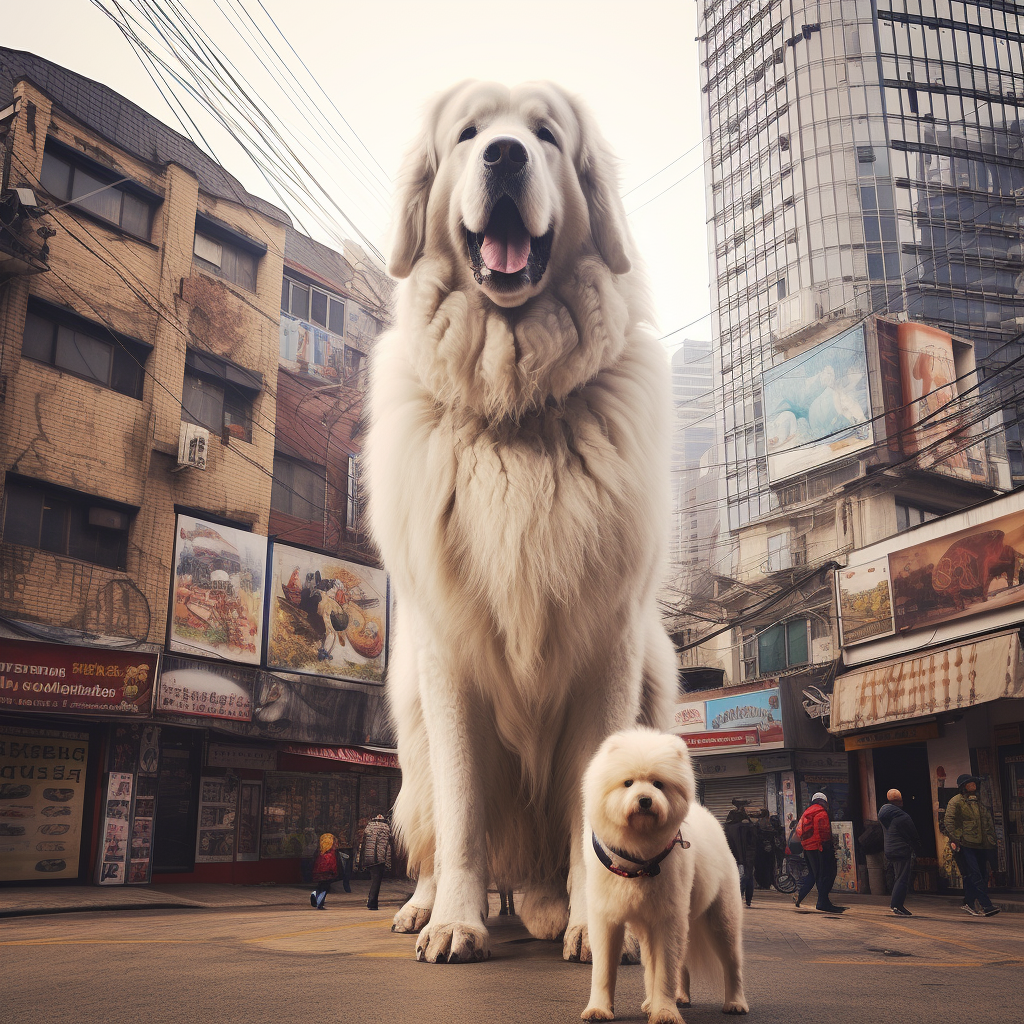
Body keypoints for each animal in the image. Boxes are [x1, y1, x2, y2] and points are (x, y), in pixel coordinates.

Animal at [364, 77, 675, 958]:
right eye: (469, 134)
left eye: (546, 134)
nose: (506, 156)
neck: (515, 407)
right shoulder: (451, 661)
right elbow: (464, 813)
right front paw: (456, 924)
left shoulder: (610, 652)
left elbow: (594, 809)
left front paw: (597, 924)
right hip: (413, 731)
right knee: (433, 831)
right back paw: (422, 906)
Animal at [577, 733, 753, 1019]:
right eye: (628, 783)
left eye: (658, 784)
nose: (645, 800)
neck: (638, 862)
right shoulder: (607, 918)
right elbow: (604, 970)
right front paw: (599, 1009)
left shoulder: (668, 918)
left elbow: (665, 971)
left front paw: (665, 1013)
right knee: (666, 964)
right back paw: (669, 999)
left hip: (722, 918)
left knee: (732, 963)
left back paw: (735, 1003)